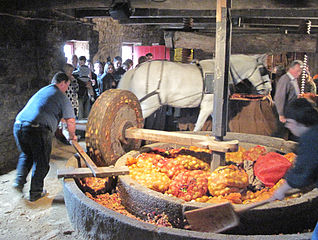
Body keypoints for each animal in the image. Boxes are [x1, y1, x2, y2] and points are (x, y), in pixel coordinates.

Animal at [118, 54, 272, 131]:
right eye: (263, 70)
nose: (269, 89)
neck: (219, 74)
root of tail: (136, 70)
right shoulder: (207, 106)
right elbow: (198, 128)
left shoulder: (213, 108)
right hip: (149, 104)